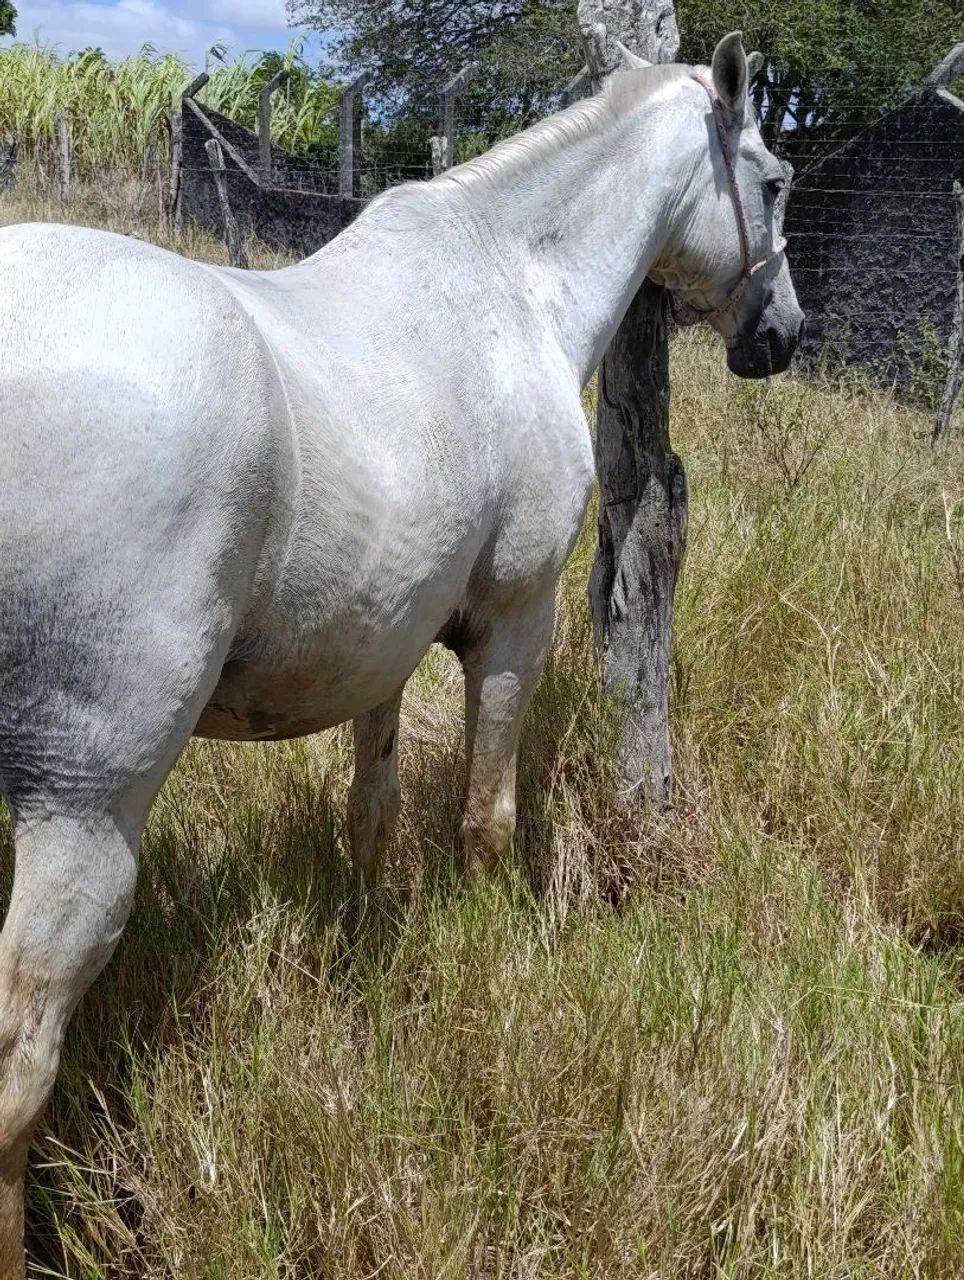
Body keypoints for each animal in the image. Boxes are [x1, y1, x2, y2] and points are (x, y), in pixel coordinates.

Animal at [0, 33, 802, 1272]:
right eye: (772, 179)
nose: (783, 334)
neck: (513, 291)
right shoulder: (515, 623)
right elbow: (483, 816)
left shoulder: (380, 642)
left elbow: (371, 815)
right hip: (83, 807)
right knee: (18, 1068)